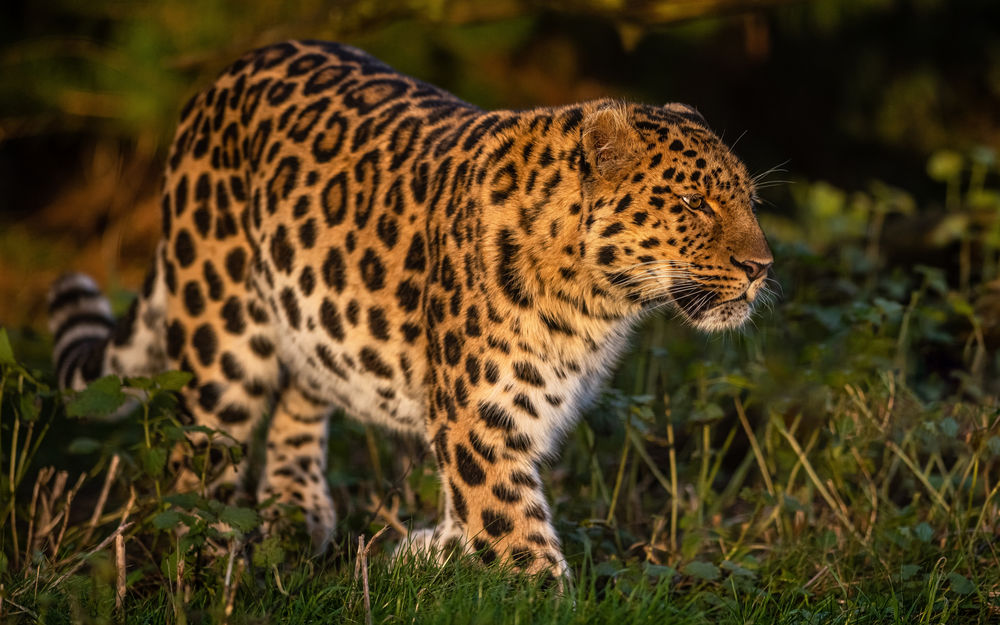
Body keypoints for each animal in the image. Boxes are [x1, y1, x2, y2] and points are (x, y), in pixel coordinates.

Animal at [48, 39, 772, 576]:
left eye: (749, 200)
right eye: (692, 204)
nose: (761, 267)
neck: (596, 299)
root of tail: (221, 78)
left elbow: (473, 515)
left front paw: (423, 553)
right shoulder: (482, 420)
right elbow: (516, 535)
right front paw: (536, 589)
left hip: (314, 313)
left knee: (300, 397)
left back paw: (296, 513)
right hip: (220, 335)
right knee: (197, 457)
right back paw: (211, 560)